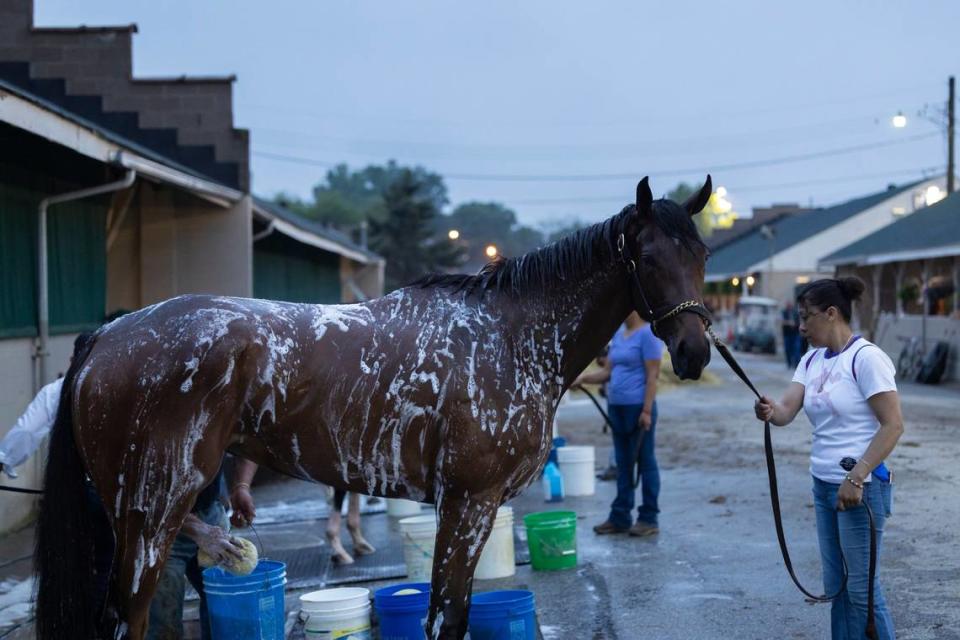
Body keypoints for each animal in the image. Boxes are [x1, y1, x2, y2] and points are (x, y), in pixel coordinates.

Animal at [35, 175, 712, 640]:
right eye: (649, 258)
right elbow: (446, 618)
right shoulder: (467, 503)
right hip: (151, 512)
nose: (695, 350)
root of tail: (106, 338)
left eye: (701, 256)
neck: (509, 335)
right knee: (127, 617)